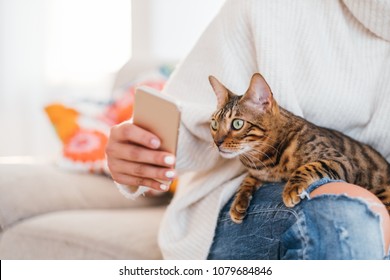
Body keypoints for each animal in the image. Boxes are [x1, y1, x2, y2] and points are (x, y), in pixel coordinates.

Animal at [210, 73, 390, 224]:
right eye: (214, 124)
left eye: (237, 123)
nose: (217, 142)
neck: (263, 159)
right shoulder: (258, 173)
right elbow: (247, 180)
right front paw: (238, 202)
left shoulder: (340, 160)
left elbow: (308, 166)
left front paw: (291, 187)